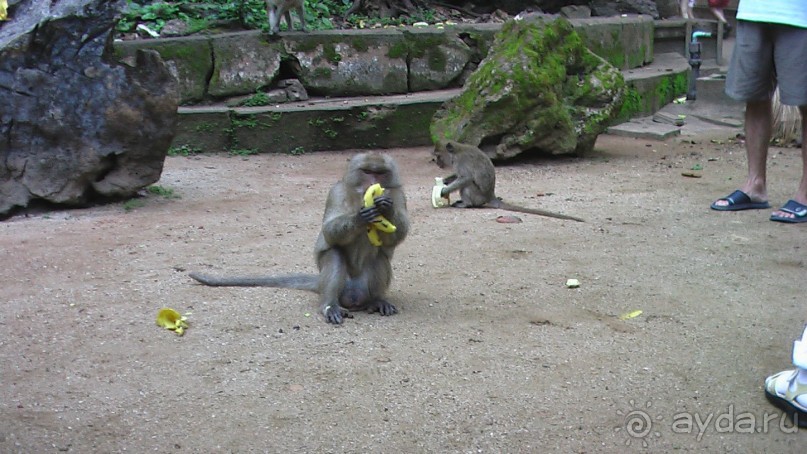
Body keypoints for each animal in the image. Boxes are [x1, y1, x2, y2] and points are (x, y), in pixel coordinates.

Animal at [190, 154, 410, 324]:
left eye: (380, 173)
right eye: (366, 171)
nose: (374, 184)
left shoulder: (399, 194)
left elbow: (398, 235)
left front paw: (386, 210)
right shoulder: (337, 192)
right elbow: (329, 232)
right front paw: (360, 217)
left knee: (379, 258)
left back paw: (377, 301)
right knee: (334, 254)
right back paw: (330, 306)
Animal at [432, 140, 584, 222]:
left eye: (439, 156)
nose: (437, 163)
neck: (456, 152)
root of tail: (490, 196)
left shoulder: (460, 162)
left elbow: (466, 178)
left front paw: (444, 190)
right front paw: (445, 181)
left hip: (477, 196)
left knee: (468, 185)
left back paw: (467, 204)